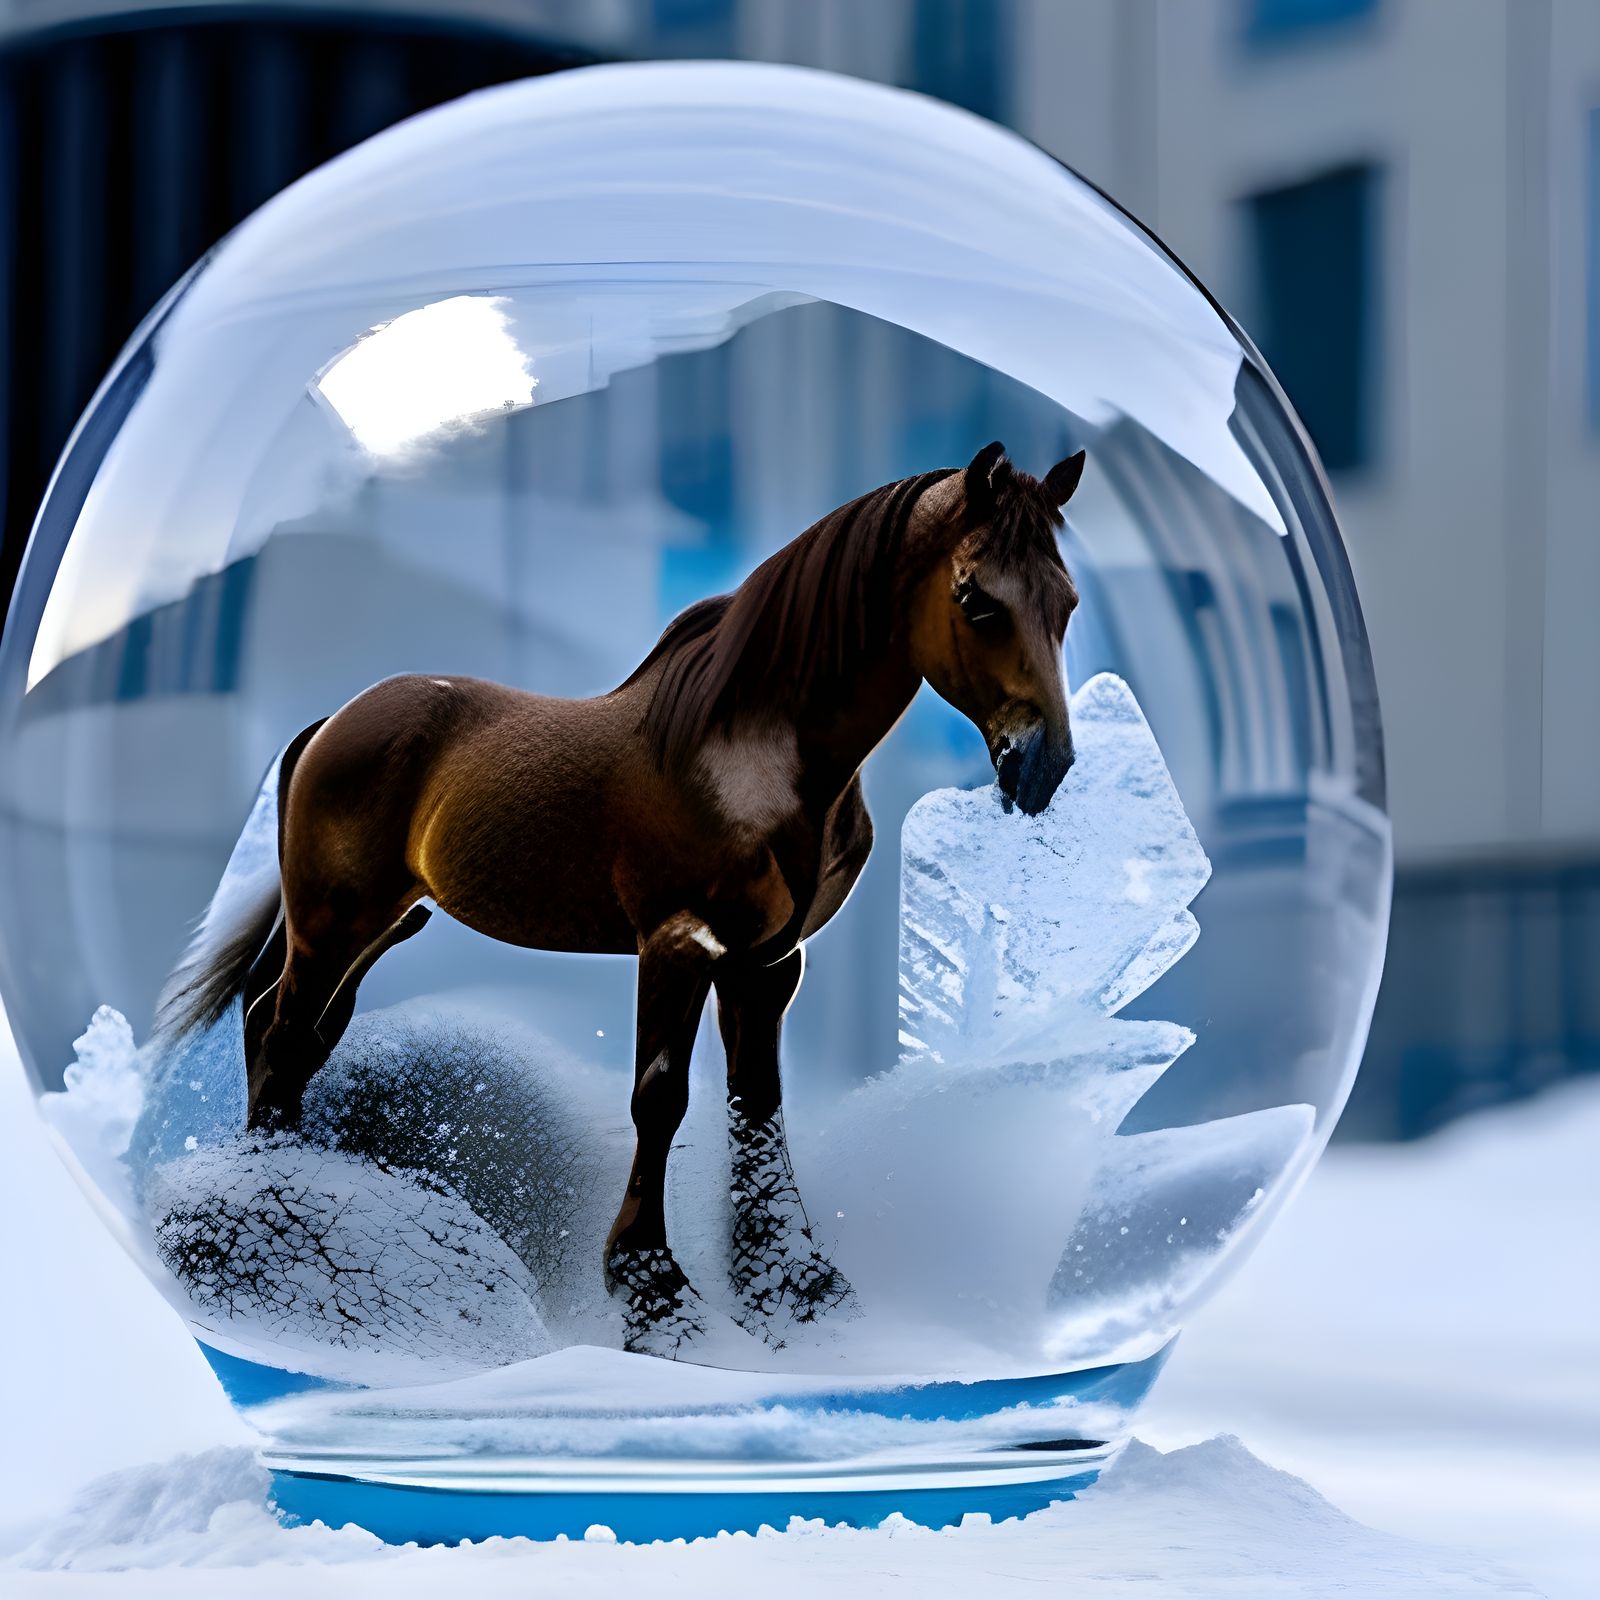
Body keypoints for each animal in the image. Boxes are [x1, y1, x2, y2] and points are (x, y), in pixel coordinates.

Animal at [157, 440, 1086, 1353]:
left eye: (1067, 602)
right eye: (974, 598)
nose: (1043, 766)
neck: (755, 756)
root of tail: (332, 724)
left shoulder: (768, 962)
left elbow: (758, 1106)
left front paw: (794, 1290)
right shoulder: (678, 944)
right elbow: (660, 1101)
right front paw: (654, 1292)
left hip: (387, 924)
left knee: (292, 1030)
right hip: (334, 922)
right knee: (283, 1030)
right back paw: (271, 1209)